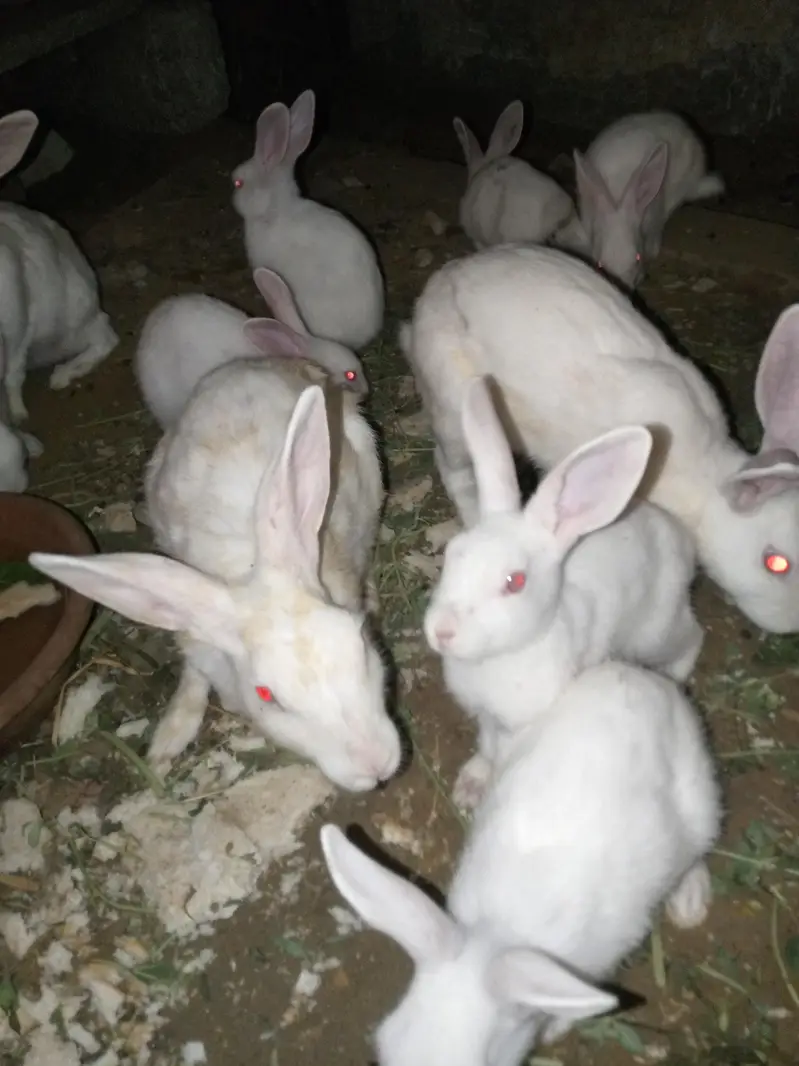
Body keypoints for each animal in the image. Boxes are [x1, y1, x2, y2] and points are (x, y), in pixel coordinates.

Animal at [0, 108, 118, 424]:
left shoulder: (17, 327)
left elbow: (12, 375)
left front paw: (18, 417)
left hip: (68, 327)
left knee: (104, 338)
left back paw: (61, 376)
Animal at [32, 359, 401, 792]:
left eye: (359, 645)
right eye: (267, 695)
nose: (377, 765)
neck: (246, 570)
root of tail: (244, 365)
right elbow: (193, 679)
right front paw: (166, 743)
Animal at [320, 658, 722, 1066]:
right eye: (383, 1048)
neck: (498, 934)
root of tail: (643, 679)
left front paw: (556, 1028)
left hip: (699, 808)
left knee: (694, 856)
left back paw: (690, 904)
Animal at [402, 242, 799, 635]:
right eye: (775, 563)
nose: (788, 627)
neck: (703, 483)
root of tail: (437, 284)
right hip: (454, 413)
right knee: (452, 467)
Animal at [424, 376, 702, 809]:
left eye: (515, 582)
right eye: (454, 554)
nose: (441, 632)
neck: (503, 657)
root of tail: (679, 537)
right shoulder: (488, 716)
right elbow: (486, 747)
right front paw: (471, 783)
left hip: (655, 630)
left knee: (692, 636)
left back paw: (677, 676)